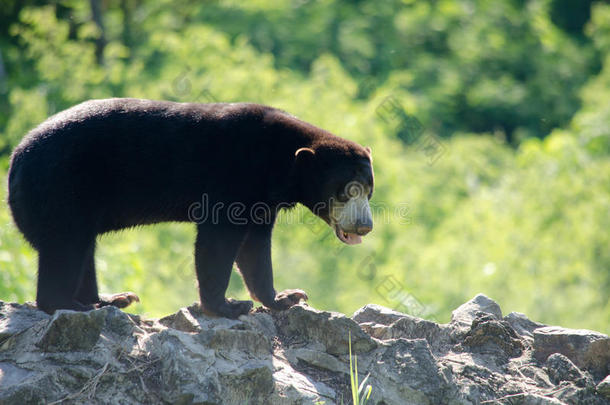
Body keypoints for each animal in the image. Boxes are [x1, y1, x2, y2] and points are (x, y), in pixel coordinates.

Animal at [7, 97, 372, 316]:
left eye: (368, 189)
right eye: (346, 190)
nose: (364, 226)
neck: (278, 161)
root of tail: (15, 163)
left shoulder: (263, 198)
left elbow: (254, 247)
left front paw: (286, 297)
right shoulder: (235, 174)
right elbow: (219, 239)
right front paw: (227, 305)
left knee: (83, 249)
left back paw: (110, 299)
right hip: (61, 188)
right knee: (66, 246)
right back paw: (73, 305)